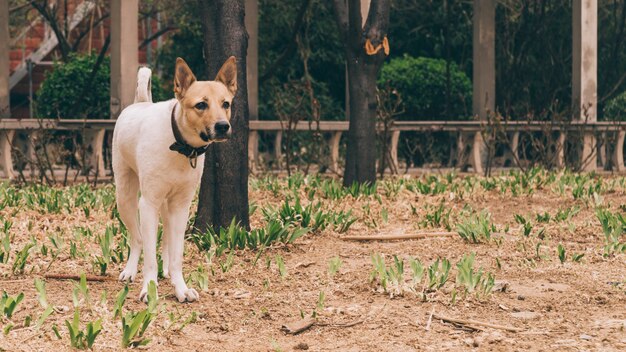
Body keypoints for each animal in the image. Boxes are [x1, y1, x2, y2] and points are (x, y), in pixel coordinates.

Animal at [111, 57, 235, 302]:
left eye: (225, 104)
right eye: (201, 105)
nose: (222, 126)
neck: (180, 145)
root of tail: (140, 103)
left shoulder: (181, 205)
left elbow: (177, 252)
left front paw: (181, 288)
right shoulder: (148, 204)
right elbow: (149, 256)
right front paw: (149, 289)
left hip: (167, 206)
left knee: (167, 239)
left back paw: (166, 269)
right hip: (125, 198)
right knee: (137, 239)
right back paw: (130, 271)